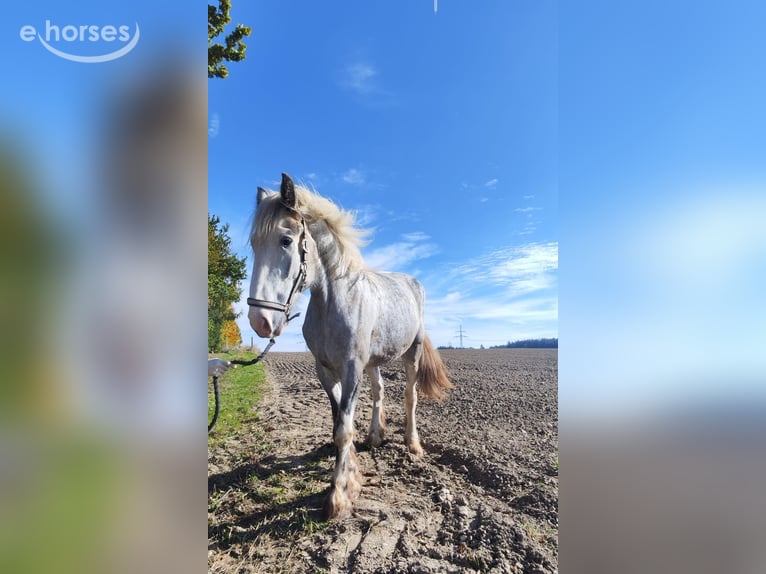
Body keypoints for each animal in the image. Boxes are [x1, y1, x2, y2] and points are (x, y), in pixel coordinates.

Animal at [247, 173, 453, 519]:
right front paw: (351, 467)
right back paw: (375, 436)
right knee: (379, 392)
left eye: (285, 240)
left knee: (409, 397)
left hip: (411, 353)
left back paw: (412, 444)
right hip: (373, 361)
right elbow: (338, 420)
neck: (334, 300)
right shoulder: (326, 370)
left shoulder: (352, 368)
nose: (259, 320)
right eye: (253, 244)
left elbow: (344, 427)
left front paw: (340, 493)